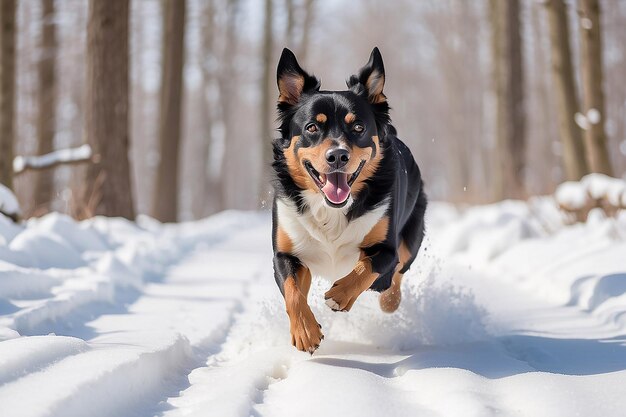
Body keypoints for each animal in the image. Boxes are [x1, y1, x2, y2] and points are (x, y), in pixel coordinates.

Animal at [270, 47, 426, 352]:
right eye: (311, 127)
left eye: (358, 128)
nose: (338, 156)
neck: (330, 210)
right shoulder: (285, 253)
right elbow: (293, 291)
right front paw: (305, 331)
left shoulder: (386, 249)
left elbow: (368, 268)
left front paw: (340, 295)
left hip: (411, 237)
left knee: (396, 275)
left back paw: (389, 301)